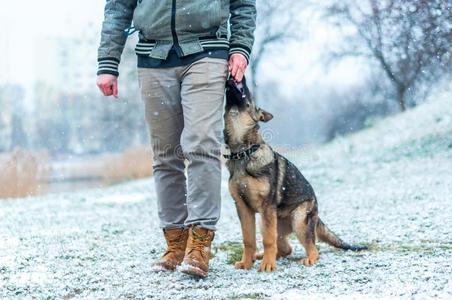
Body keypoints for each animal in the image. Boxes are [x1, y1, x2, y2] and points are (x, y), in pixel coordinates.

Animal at [222, 77, 368, 272]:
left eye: (248, 93)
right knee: (286, 248)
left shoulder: (266, 207)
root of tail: (316, 211)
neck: (243, 153)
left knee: (312, 248)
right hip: (273, 224)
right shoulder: (242, 208)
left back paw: (305, 259)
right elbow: (248, 239)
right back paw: (259, 256)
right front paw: (246, 262)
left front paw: (268, 265)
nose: (241, 77)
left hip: (297, 220)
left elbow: (267, 240)